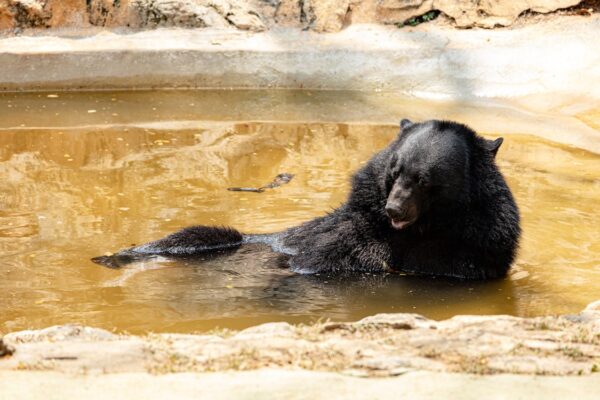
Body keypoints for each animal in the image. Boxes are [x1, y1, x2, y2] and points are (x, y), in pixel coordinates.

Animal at [94, 120, 520, 280]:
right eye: (394, 171)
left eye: (424, 180)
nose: (394, 208)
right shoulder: (354, 223)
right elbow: (323, 252)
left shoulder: (475, 246)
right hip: (243, 238)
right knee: (198, 235)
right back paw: (114, 255)